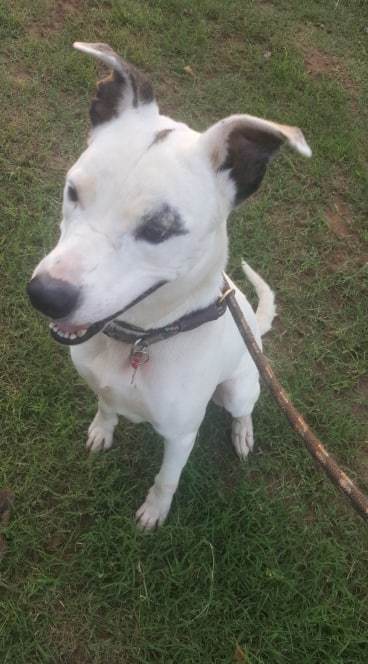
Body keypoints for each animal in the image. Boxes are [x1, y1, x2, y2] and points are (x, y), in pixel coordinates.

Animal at [26, 42, 310, 528]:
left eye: (159, 229)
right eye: (73, 191)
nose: (45, 295)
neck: (141, 340)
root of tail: (252, 328)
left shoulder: (181, 436)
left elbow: (166, 479)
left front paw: (154, 512)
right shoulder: (103, 386)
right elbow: (106, 406)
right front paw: (102, 429)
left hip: (239, 388)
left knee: (244, 409)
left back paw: (243, 432)